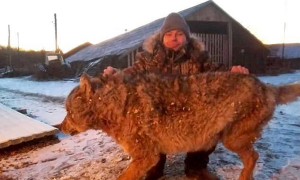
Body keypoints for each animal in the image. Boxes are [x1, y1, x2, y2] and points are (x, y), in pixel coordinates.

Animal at [59, 71, 300, 180]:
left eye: (68, 112)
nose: (59, 127)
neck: (115, 105)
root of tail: (267, 86)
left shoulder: (145, 156)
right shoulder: (147, 158)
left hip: (231, 140)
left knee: (253, 157)